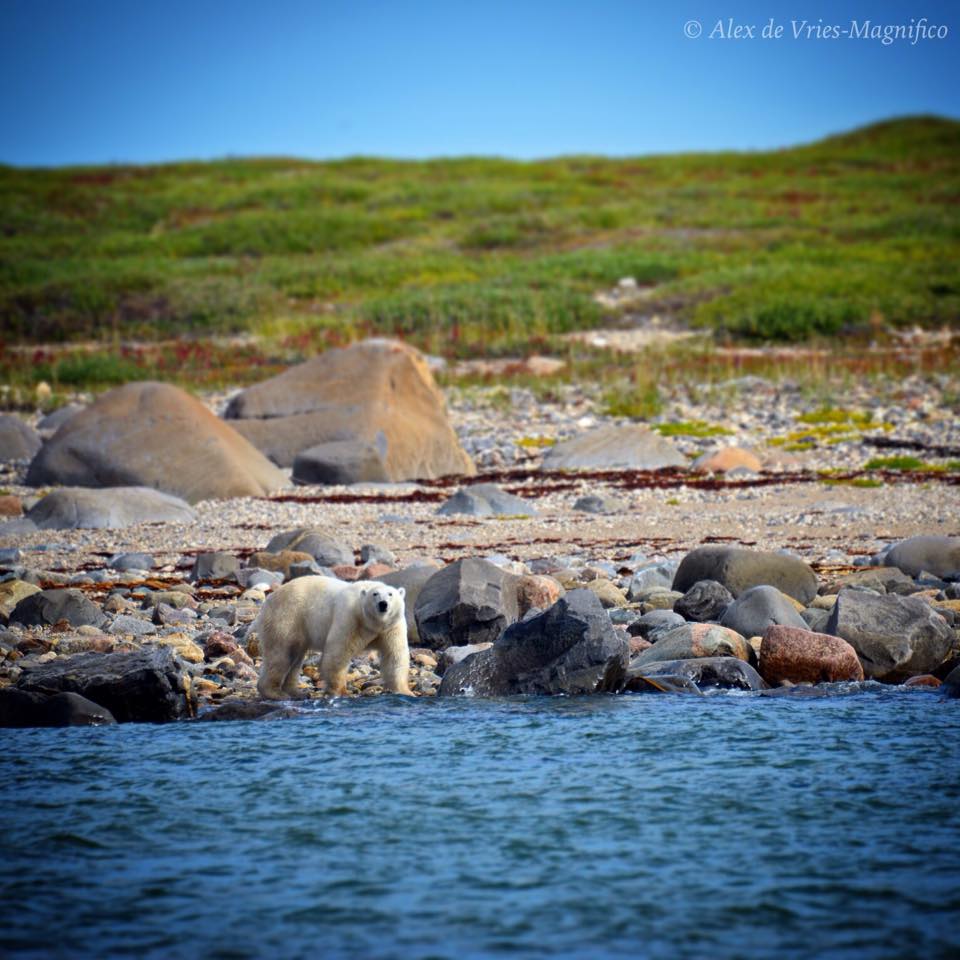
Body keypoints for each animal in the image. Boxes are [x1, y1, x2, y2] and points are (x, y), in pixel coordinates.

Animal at [254, 576, 411, 699]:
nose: (383, 604)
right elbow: (338, 653)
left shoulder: (391, 628)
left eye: (390, 594)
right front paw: (340, 692)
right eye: (375, 594)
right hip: (287, 618)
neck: (373, 624)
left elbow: (394, 656)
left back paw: (296, 693)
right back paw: (276, 693)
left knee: (295, 659)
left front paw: (405, 692)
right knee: (281, 654)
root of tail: (269, 599)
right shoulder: (350, 618)